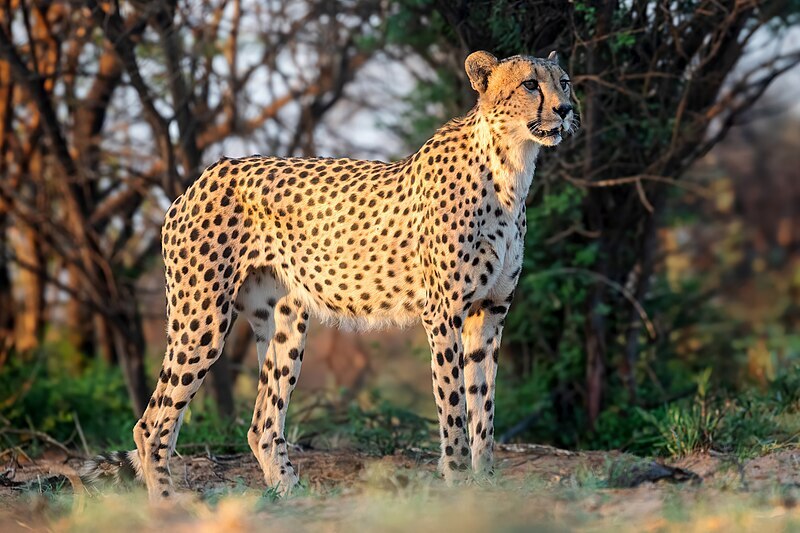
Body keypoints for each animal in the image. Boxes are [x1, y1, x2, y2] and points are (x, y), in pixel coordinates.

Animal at [81, 50, 576, 498]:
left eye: (564, 82)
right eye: (530, 85)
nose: (566, 110)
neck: (510, 167)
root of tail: (205, 175)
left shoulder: (489, 313)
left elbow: (484, 409)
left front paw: (486, 484)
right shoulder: (444, 314)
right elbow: (454, 408)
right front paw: (457, 485)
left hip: (285, 322)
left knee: (262, 423)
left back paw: (292, 498)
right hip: (201, 319)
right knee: (151, 424)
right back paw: (169, 504)